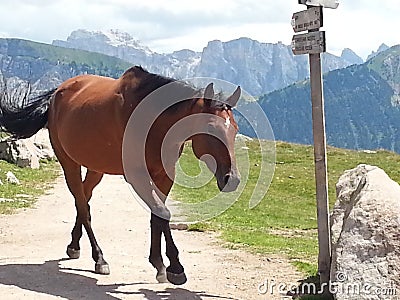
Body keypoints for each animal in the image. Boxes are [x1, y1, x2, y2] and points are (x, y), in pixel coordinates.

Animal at [0, 65, 241, 284]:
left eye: (235, 129)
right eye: (211, 127)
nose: (232, 179)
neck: (152, 120)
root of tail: (57, 93)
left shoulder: (164, 175)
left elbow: (157, 215)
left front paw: (159, 264)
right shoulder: (136, 176)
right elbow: (163, 213)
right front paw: (175, 267)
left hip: (96, 168)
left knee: (83, 200)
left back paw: (74, 245)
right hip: (69, 164)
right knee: (83, 205)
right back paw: (99, 258)